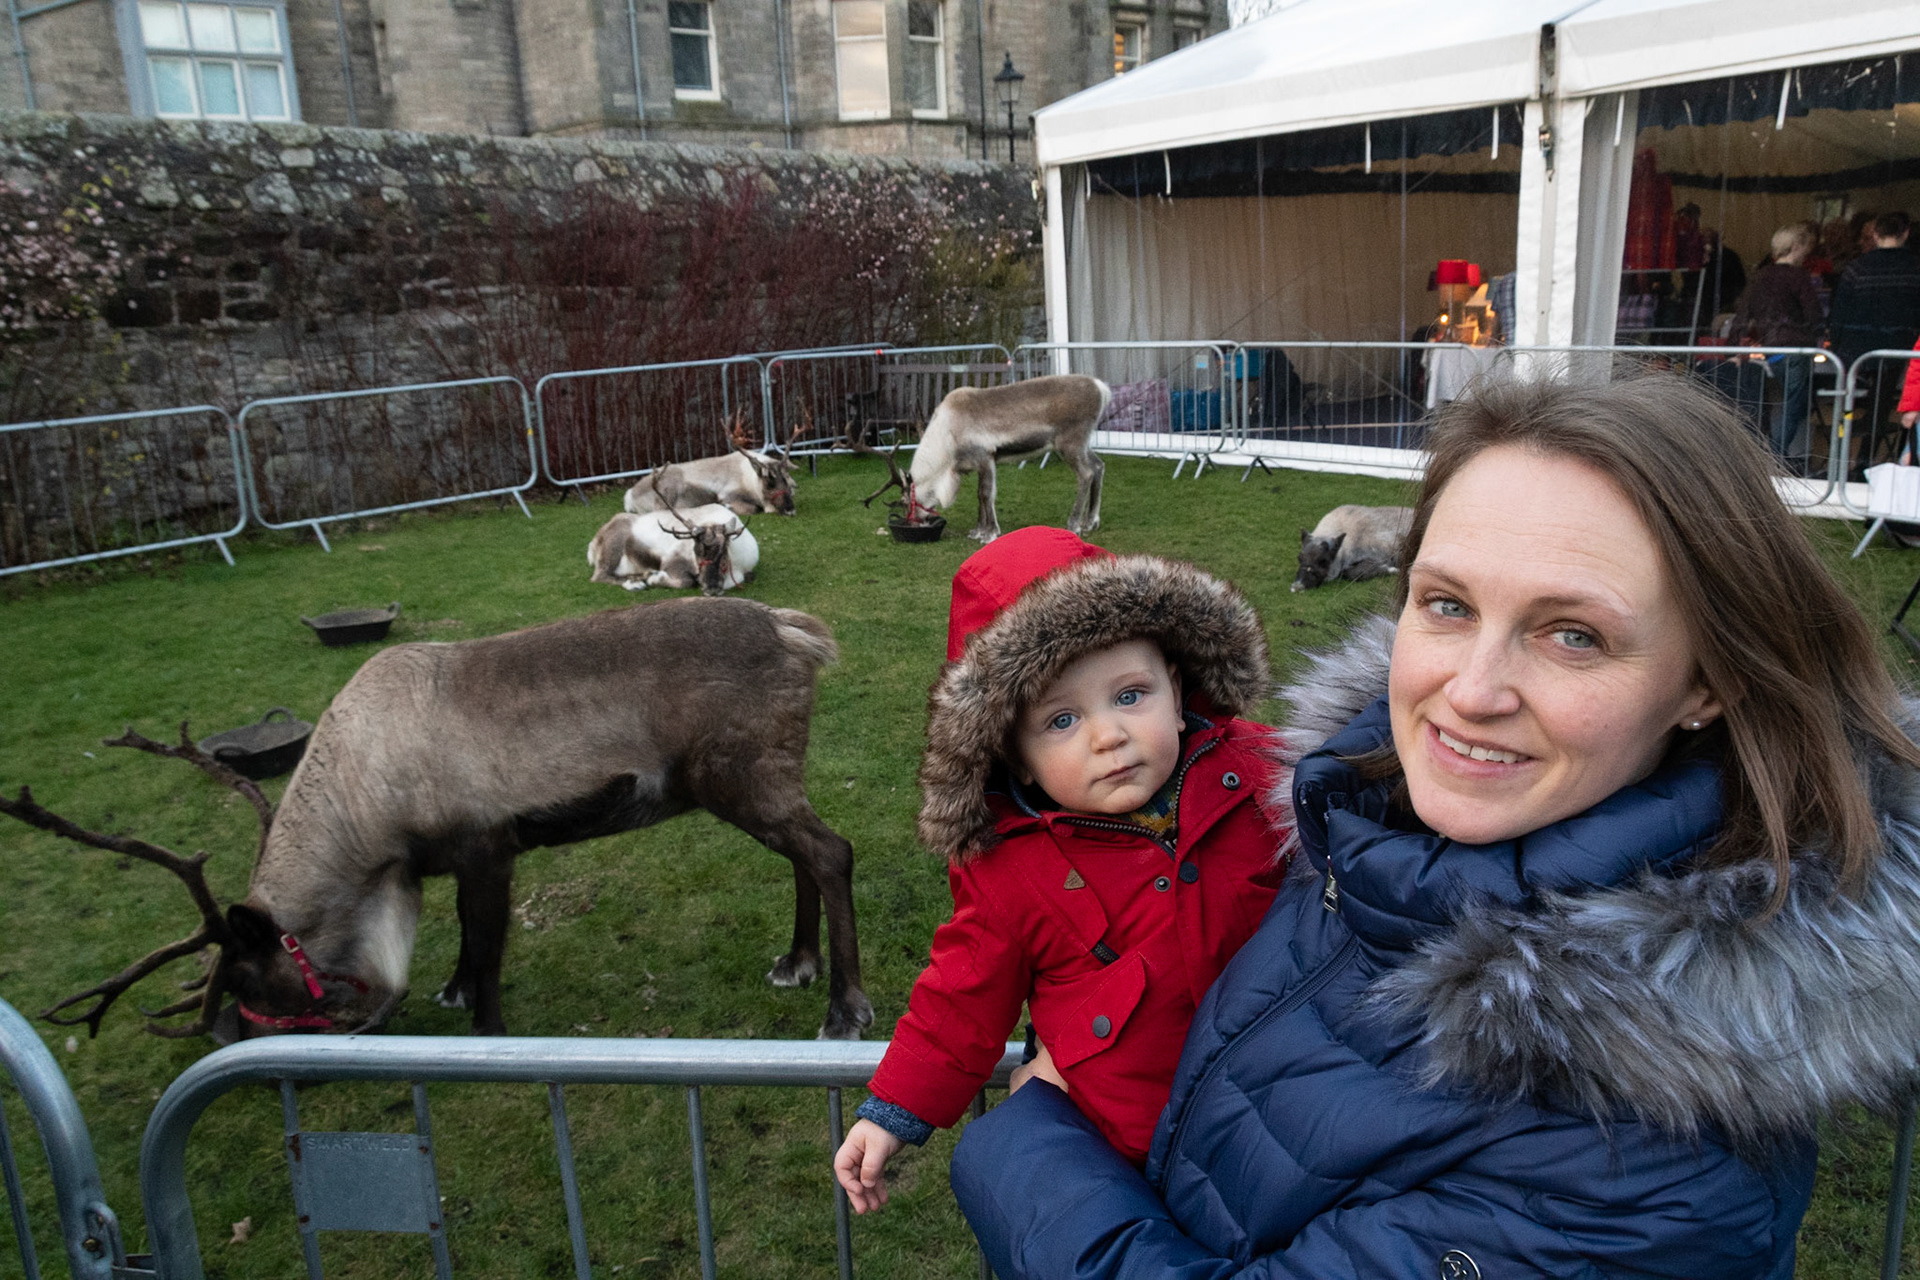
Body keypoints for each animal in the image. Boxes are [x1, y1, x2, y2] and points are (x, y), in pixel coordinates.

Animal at [1, 597, 873, 1043]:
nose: (231, 1042)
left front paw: (486, 1031)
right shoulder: (446, 861)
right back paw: (796, 964)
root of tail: (801, 632)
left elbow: (486, 943)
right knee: (804, 855)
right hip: (760, 784)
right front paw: (450, 992)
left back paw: (845, 1008)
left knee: (832, 851)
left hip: (740, 779)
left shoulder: (488, 842)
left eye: (247, 975)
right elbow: (461, 934)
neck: (365, 817)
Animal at [872, 374, 1111, 544]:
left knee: (1086, 473)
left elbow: (986, 494)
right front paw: (977, 531)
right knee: (1098, 466)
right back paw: (1091, 522)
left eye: (904, 501)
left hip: (1069, 444)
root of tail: (1102, 388)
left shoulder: (985, 457)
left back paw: (1074, 524)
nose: (911, 524)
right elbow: (979, 496)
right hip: (1082, 444)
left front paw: (990, 534)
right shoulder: (978, 464)